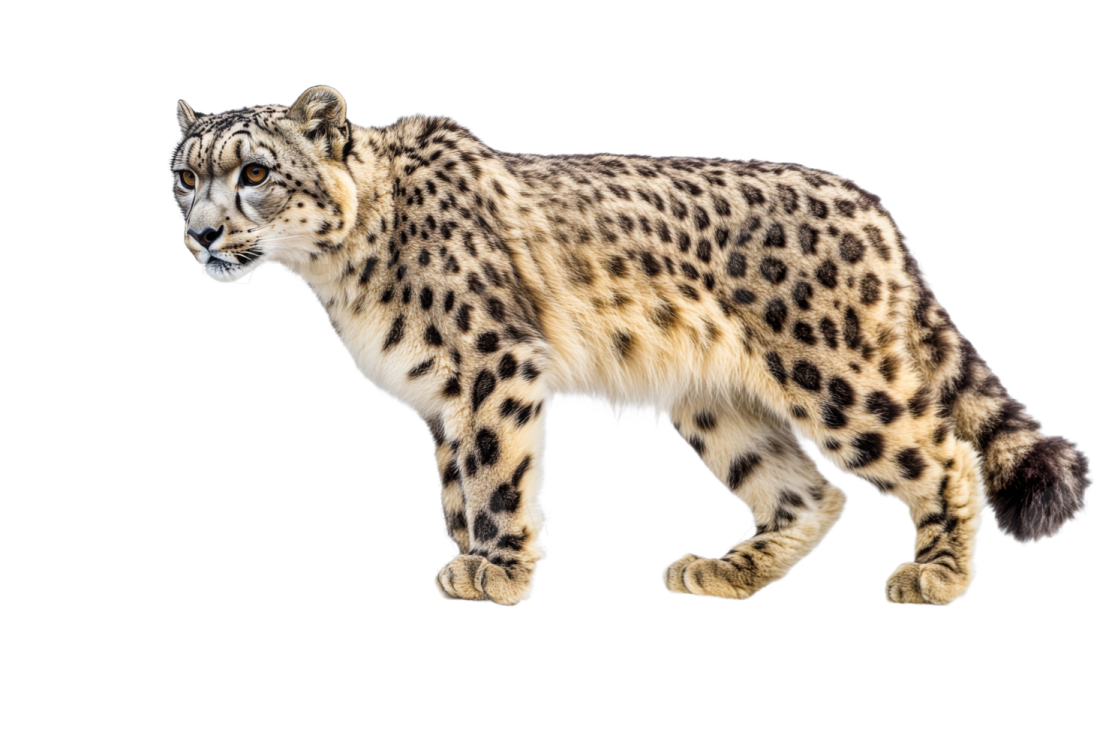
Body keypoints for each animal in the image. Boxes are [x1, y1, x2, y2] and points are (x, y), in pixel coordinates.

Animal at [166, 84, 1093, 607]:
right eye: (185, 173)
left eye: (254, 172)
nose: (201, 232)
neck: (336, 273)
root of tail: (873, 206)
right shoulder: (440, 400)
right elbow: (458, 487)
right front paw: (467, 560)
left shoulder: (493, 367)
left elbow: (497, 479)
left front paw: (497, 573)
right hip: (718, 405)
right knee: (809, 493)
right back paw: (724, 573)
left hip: (839, 377)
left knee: (938, 453)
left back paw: (933, 575)